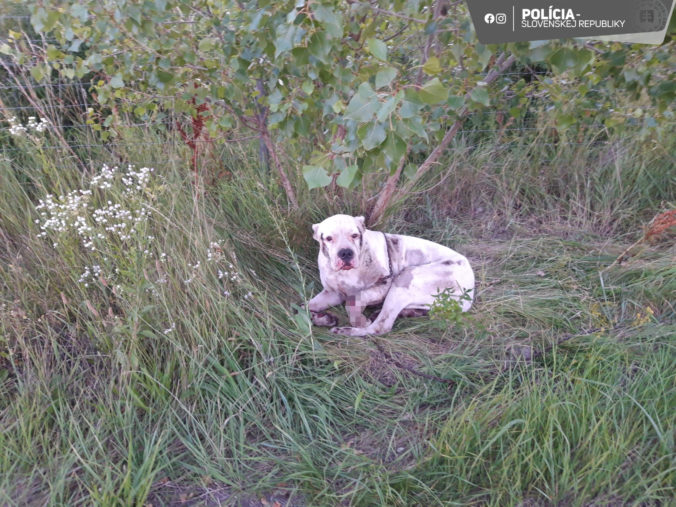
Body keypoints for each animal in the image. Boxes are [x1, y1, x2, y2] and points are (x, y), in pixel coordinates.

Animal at [308, 215, 476, 338]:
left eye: (354, 235)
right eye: (328, 238)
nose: (345, 252)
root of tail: (471, 286)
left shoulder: (383, 285)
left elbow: (355, 300)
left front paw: (360, 320)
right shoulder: (333, 293)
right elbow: (305, 306)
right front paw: (322, 318)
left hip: (405, 278)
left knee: (380, 327)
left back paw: (347, 331)